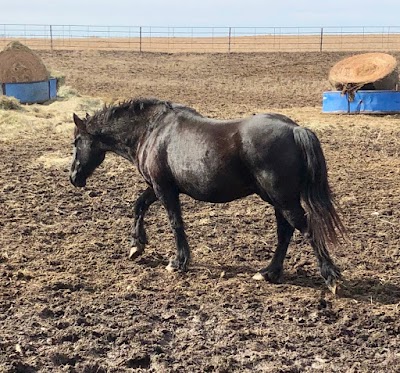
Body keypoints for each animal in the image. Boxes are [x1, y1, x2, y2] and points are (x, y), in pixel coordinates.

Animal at [69, 99, 344, 294]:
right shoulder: (157, 187)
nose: (73, 177)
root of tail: (295, 129)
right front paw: (136, 245)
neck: (152, 130)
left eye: (76, 141)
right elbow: (138, 206)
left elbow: (175, 223)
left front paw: (178, 262)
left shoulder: (164, 189)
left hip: (283, 200)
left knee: (306, 229)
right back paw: (269, 272)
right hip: (278, 201)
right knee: (285, 232)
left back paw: (330, 278)